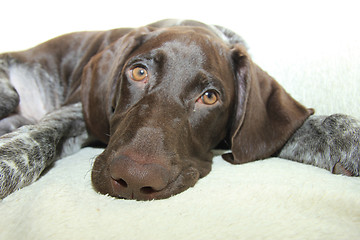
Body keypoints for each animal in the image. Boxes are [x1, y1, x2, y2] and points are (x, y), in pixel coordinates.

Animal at [0, 18, 358, 200]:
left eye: (210, 97)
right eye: (138, 72)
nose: (133, 180)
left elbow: (307, 126)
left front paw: (349, 140)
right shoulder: (76, 111)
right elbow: (39, 137)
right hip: (9, 93)